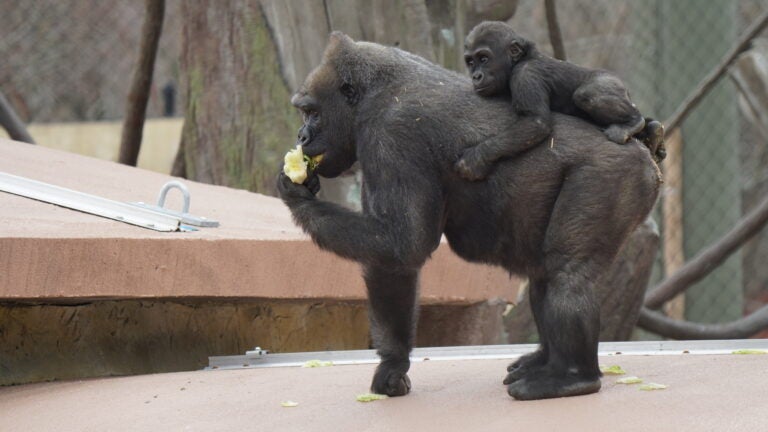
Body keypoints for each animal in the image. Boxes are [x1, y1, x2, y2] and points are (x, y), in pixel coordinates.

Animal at [456, 21, 664, 181]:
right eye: (471, 62)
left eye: (484, 58)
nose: (476, 76)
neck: (519, 61)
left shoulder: (526, 76)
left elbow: (536, 122)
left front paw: (477, 158)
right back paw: (653, 132)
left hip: (609, 82)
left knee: (586, 95)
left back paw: (633, 122)